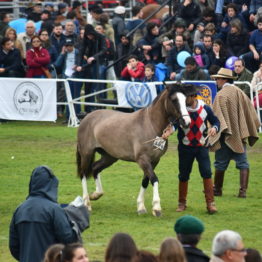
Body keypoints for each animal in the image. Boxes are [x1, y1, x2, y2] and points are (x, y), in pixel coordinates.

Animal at [75, 83, 192, 216]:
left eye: (185, 99)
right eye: (174, 100)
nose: (186, 122)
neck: (150, 125)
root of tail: (86, 118)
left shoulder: (154, 160)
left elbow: (146, 181)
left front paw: (141, 207)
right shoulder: (142, 160)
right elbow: (154, 179)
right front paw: (157, 208)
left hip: (109, 157)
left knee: (95, 168)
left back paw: (96, 194)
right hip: (87, 154)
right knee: (83, 174)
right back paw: (87, 203)